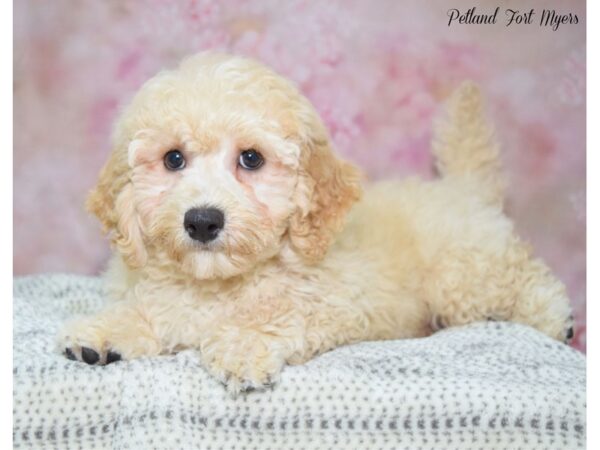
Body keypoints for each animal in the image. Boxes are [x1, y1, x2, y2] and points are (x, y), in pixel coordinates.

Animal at [58, 52, 576, 394]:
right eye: (172, 159)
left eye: (251, 159)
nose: (202, 221)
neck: (216, 283)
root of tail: (461, 187)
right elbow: (149, 311)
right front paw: (102, 334)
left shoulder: (337, 304)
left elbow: (281, 313)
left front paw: (243, 343)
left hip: (464, 273)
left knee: (520, 277)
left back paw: (555, 317)